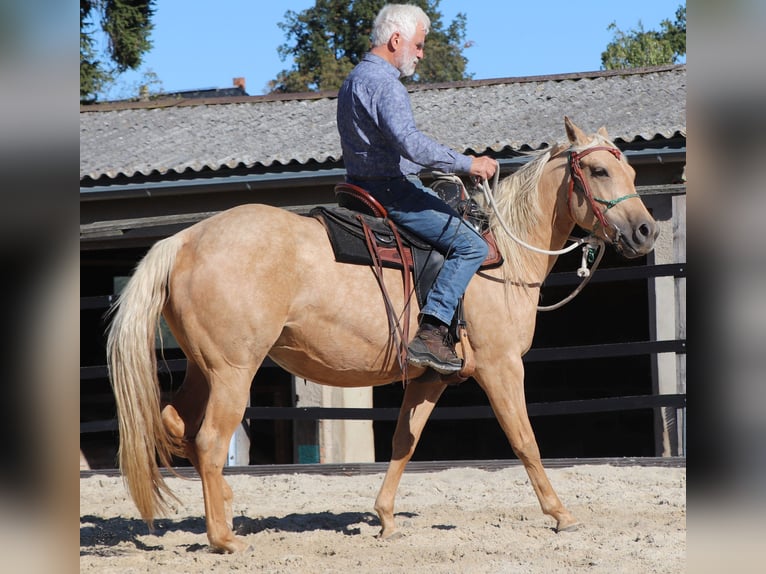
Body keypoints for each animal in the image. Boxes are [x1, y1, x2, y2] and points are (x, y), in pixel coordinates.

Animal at [106, 116, 660, 552]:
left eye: (632, 172)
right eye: (598, 170)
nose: (646, 232)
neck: (501, 255)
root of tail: (184, 240)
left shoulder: (431, 377)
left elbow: (403, 442)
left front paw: (386, 518)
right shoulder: (502, 367)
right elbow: (525, 441)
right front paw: (561, 514)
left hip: (206, 369)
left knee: (174, 422)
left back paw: (222, 506)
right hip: (232, 372)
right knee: (208, 440)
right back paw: (223, 538)